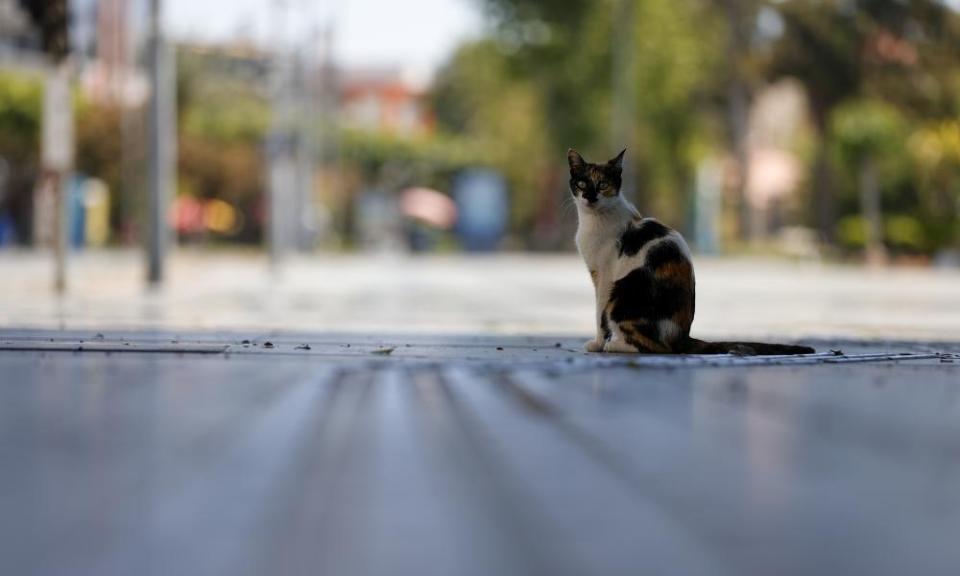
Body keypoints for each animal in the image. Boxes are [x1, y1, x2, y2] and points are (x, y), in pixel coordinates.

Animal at [572, 147, 812, 356]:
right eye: (582, 183)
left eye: (603, 184)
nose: (590, 197)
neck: (593, 221)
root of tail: (682, 336)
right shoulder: (596, 272)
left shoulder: (605, 276)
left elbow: (599, 314)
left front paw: (597, 343)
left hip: (623, 292)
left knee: (656, 347)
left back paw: (614, 345)